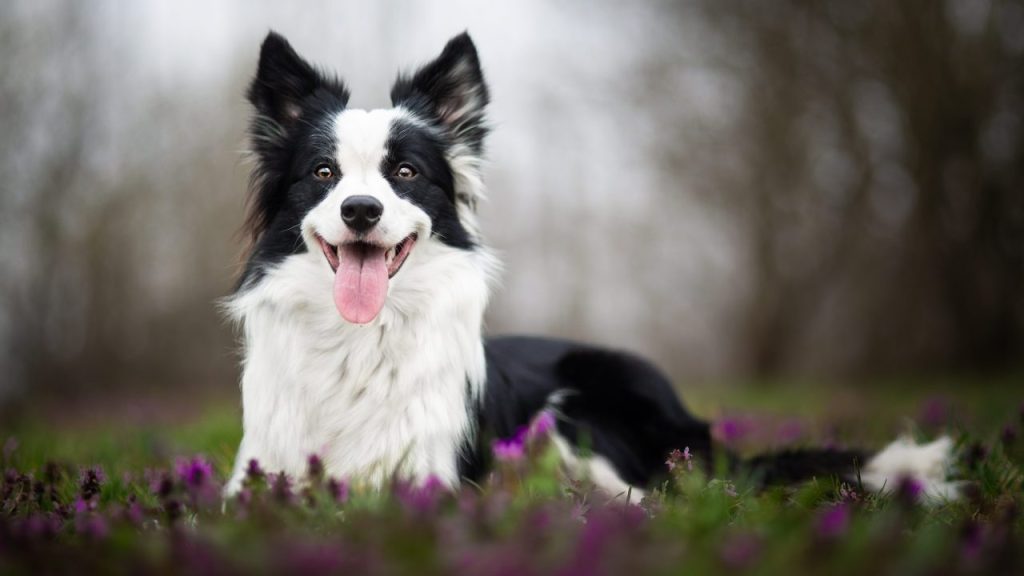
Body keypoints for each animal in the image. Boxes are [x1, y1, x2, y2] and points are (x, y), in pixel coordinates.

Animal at [228, 31, 954, 498]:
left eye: (404, 173)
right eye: (323, 173)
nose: (360, 210)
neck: (357, 340)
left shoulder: (429, 479)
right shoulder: (257, 476)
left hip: (588, 413)